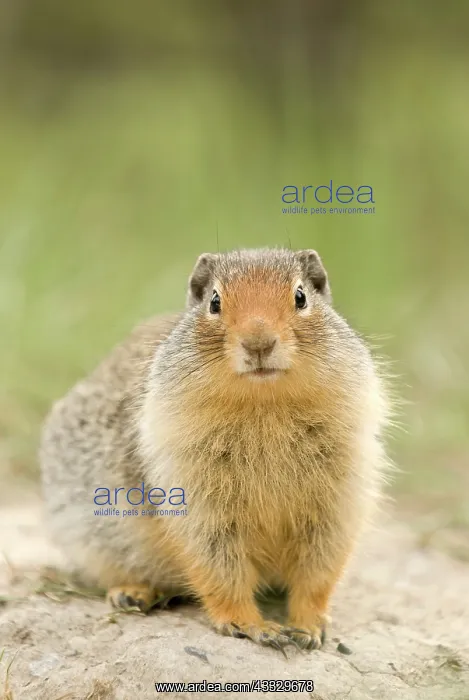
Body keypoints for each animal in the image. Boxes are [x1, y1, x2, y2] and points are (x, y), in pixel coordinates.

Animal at [40, 248, 390, 652]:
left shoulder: (337, 501)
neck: (264, 407)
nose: (258, 343)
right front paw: (254, 627)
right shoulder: (196, 498)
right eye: (215, 301)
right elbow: (220, 567)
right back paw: (132, 593)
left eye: (301, 296)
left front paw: (308, 628)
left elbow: (318, 571)